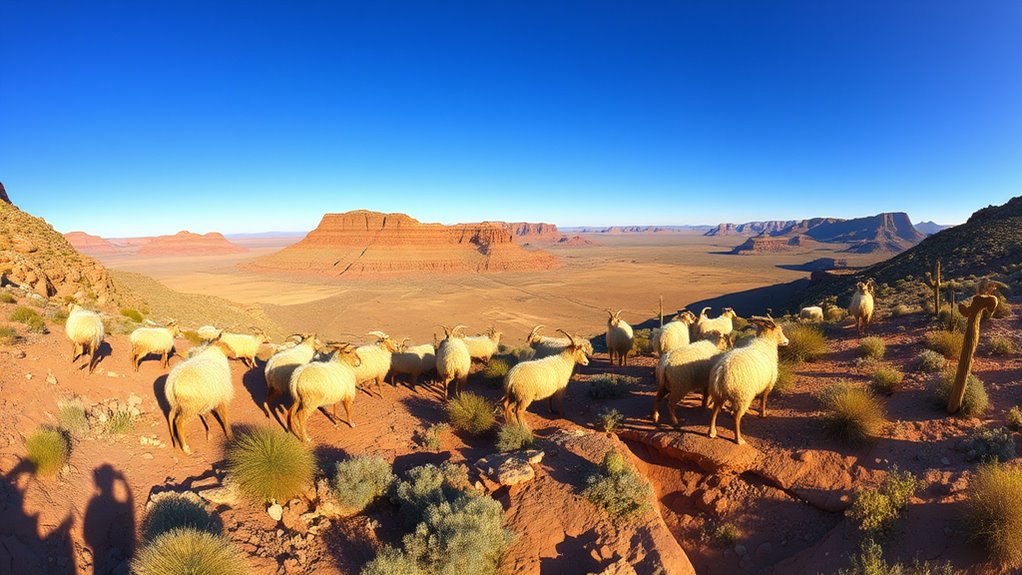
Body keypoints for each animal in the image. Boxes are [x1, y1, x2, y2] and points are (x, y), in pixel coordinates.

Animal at [708, 316, 789, 445]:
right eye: (779, 330)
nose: (787, 341)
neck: (766, 343)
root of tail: (721, 371)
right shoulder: (769, 384)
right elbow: (764, 399)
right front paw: (763, 414)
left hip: (719, 394)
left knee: (715, 410)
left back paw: (712, 432)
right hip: (743, 396)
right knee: (736, 417)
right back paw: (738, 439)